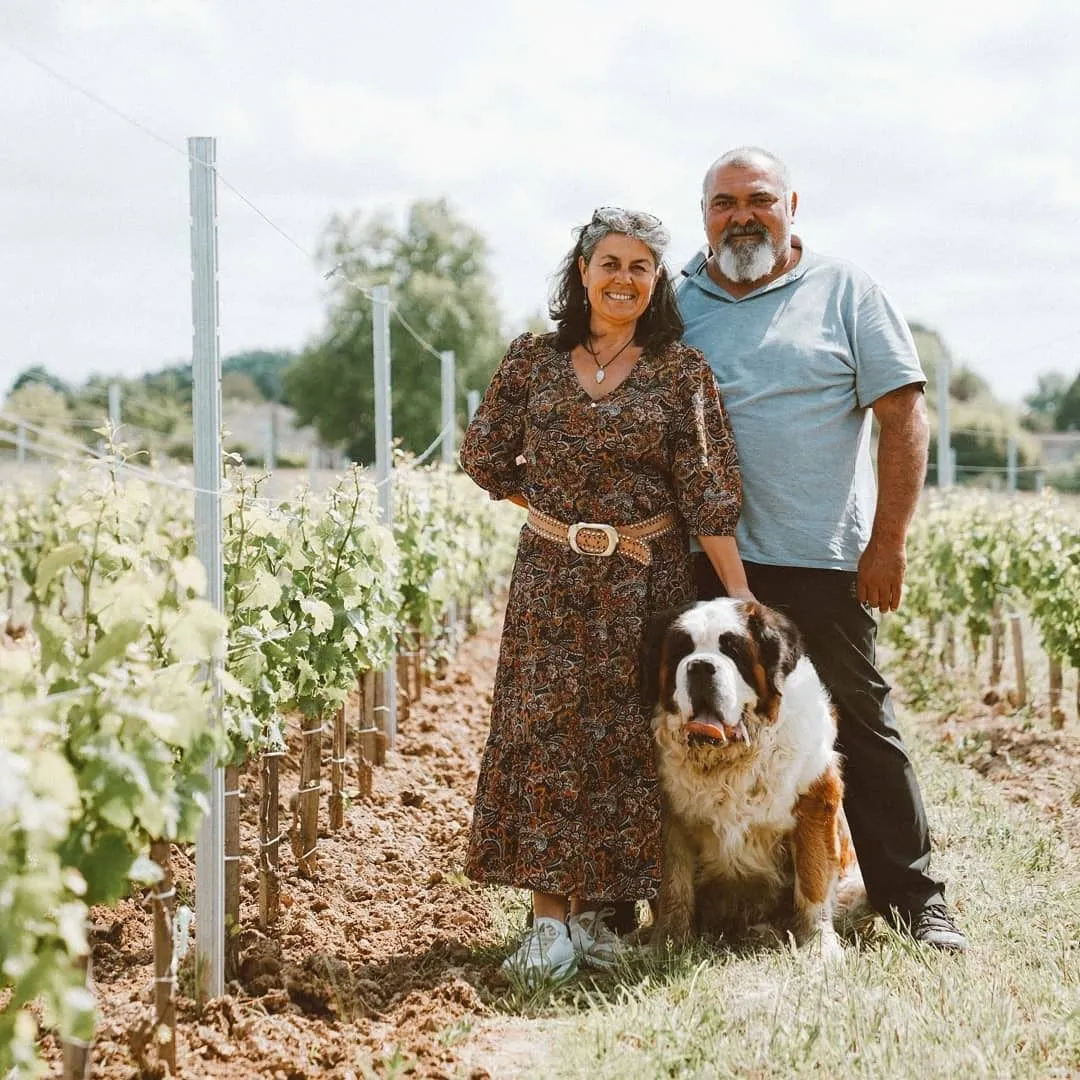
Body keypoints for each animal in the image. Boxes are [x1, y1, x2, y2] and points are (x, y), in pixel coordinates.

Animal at [639, 596, 868, 959]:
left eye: (732, 649)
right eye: (681, 650)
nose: (700, 666)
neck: (729, 761)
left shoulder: (815, 798)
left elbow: (813, 877)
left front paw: (819, 945)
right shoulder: (669, 818)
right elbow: (674, 886)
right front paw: (668, 943)